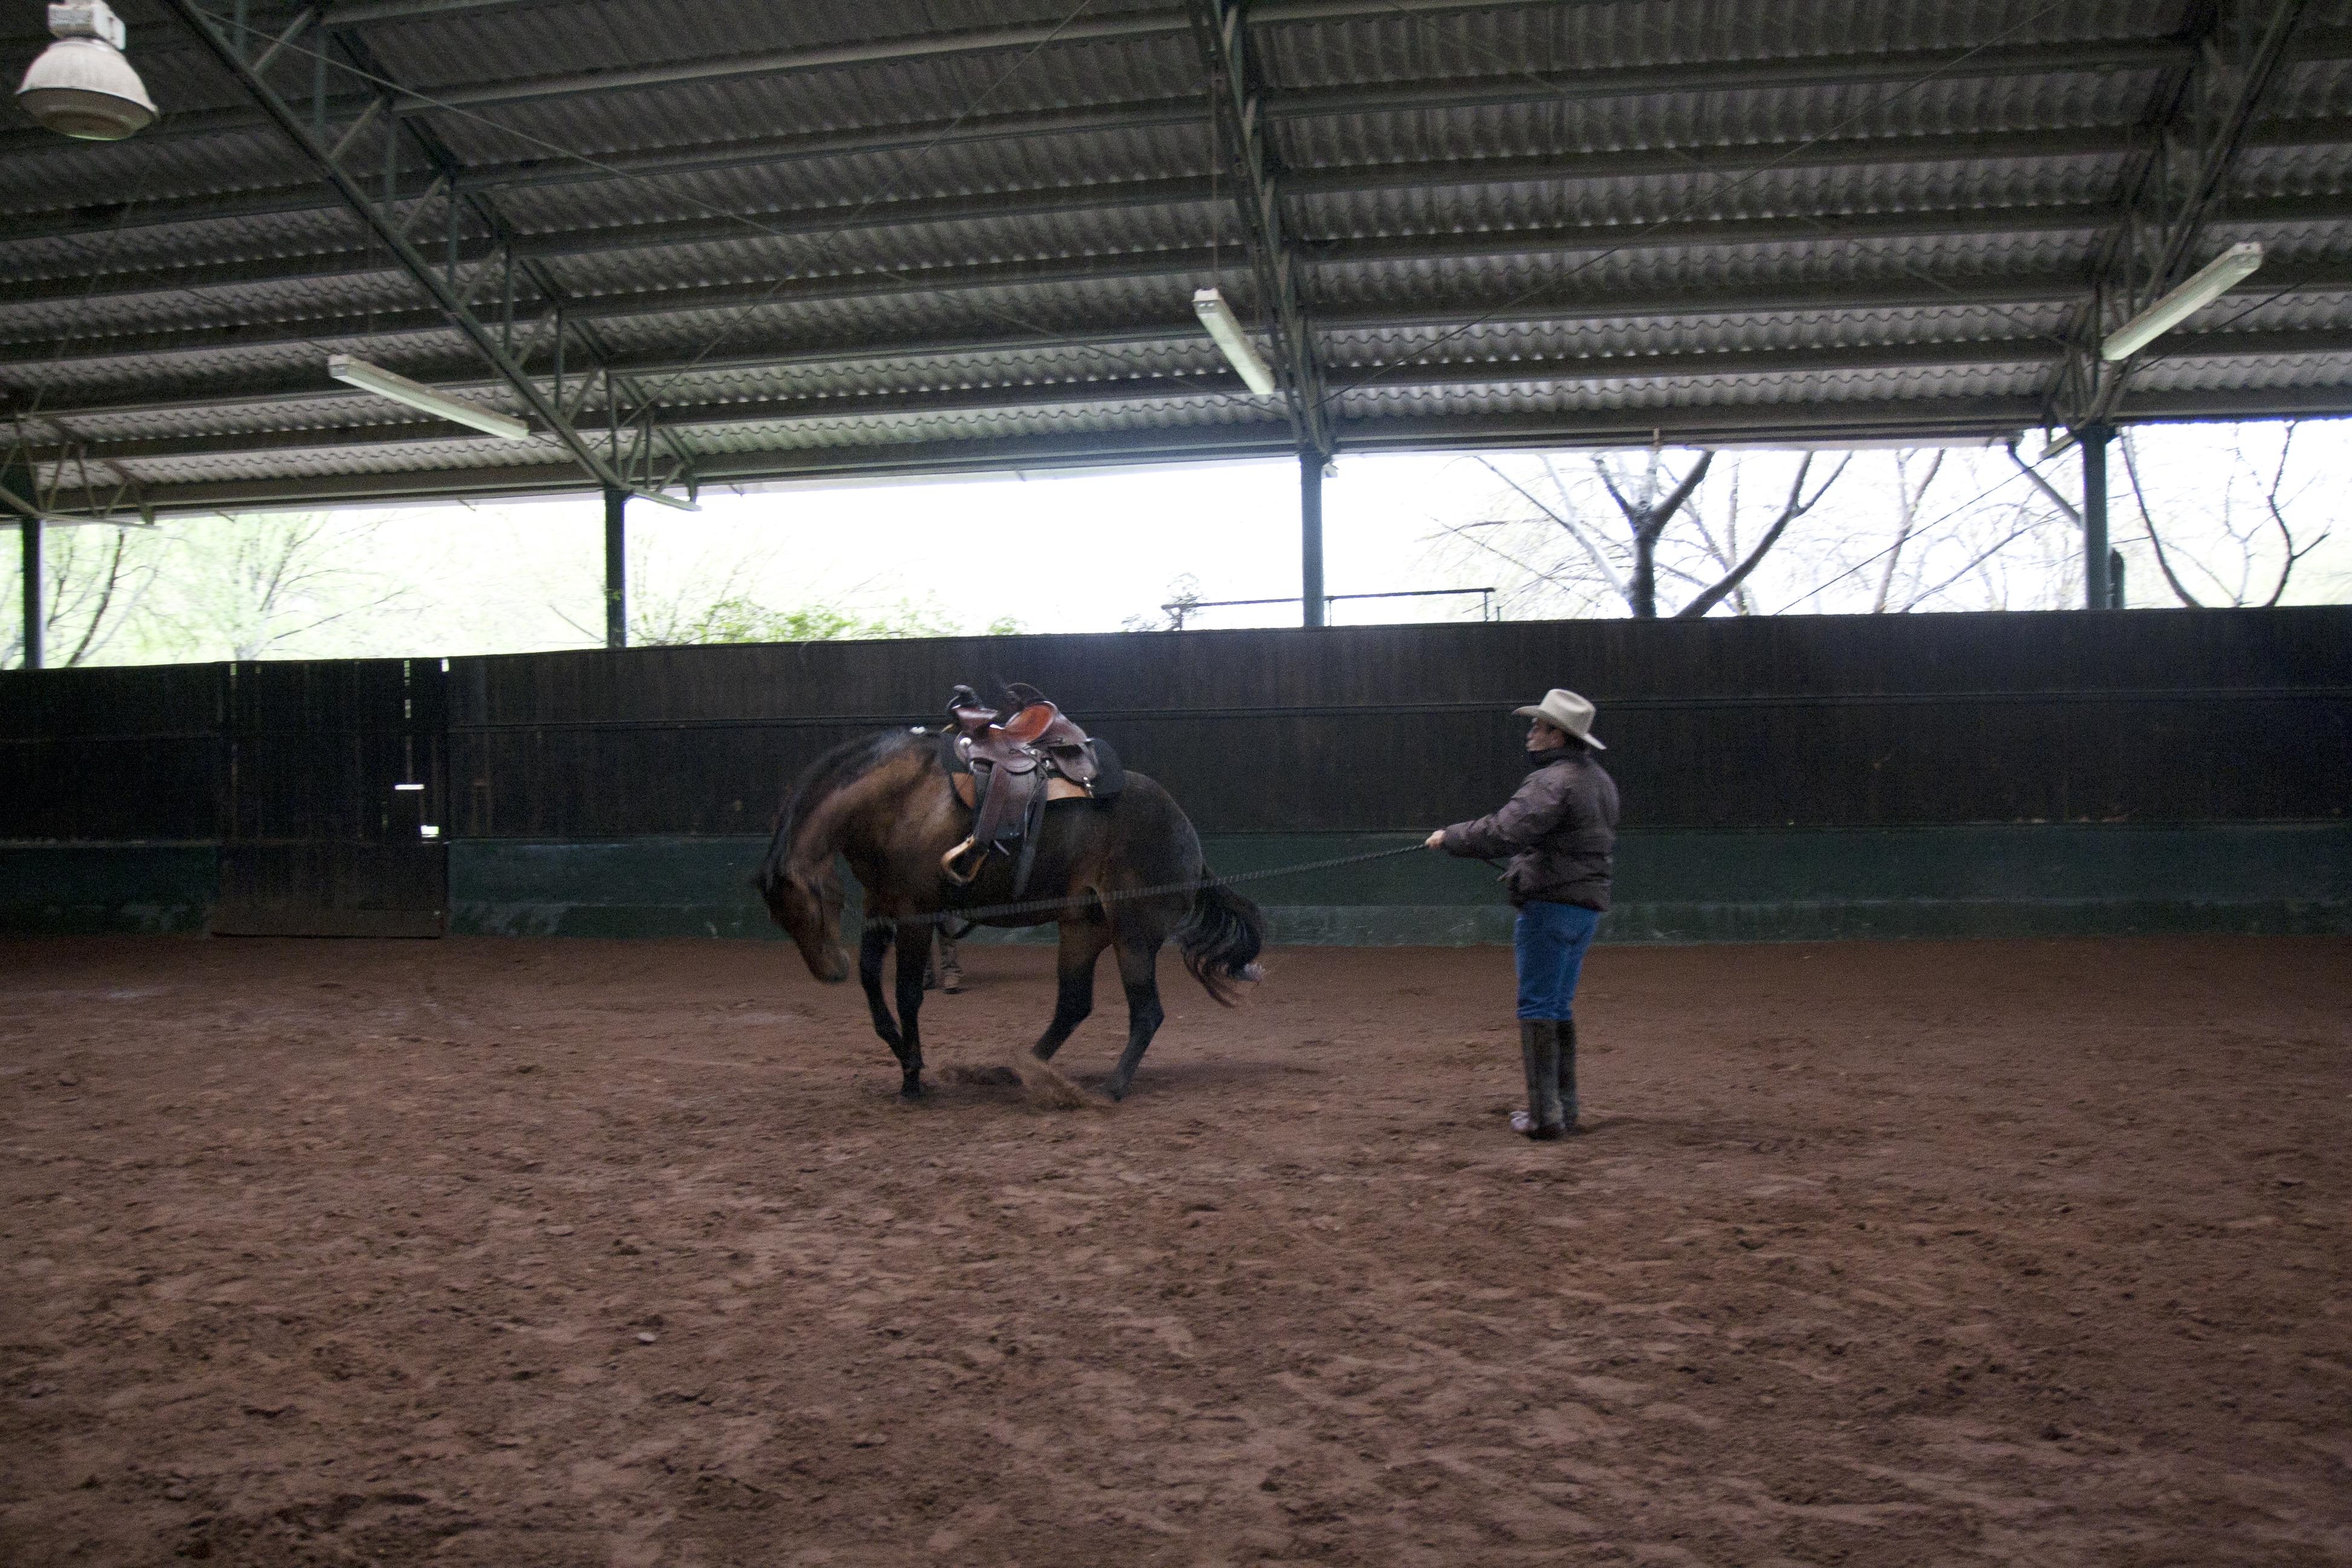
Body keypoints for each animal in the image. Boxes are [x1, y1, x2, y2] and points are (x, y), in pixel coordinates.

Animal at [752, 728, 1270, 1104]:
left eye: (809, 905)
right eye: (780, 918)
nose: (829, 972)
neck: (901, 798)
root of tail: (1185, 832)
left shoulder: (917, 914)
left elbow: (906, 995)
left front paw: (913, 1078)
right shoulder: (882, 908)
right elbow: (870, 983)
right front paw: (903, 1054)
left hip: (1134, 936)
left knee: (1146, 1013)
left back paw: (1111, 1087)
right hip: (1082, 930)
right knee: (1072, 1007)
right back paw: (1018, 1068)